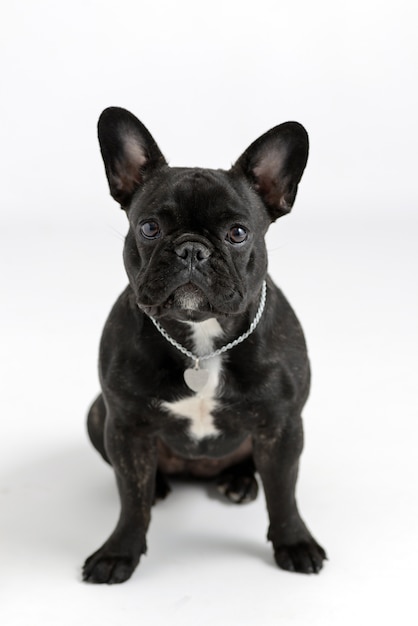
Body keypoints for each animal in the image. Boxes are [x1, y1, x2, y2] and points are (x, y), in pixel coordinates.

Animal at [83, 106, 326, 580]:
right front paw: (119, 552)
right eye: (149, 227)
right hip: (98, 414)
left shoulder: (284, 426)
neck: (201, 341)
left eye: (237, 233)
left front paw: (295, 542)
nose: (192, 250)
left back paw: (239, 481)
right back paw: (160, 485)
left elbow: (284, 494)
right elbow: (131, 502)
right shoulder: (125, 426)